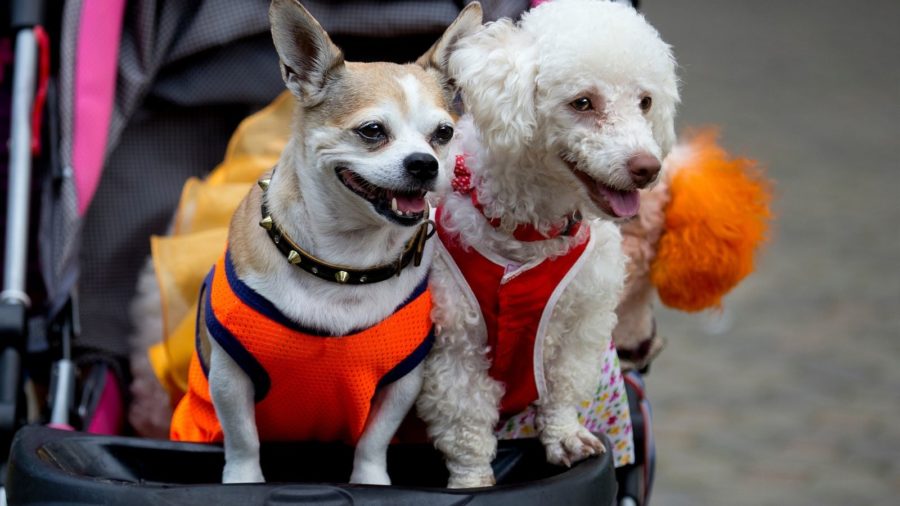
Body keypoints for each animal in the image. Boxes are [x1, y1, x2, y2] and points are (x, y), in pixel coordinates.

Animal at [169, 0, 478, 484]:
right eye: (372, 131)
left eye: (443, 134)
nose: (425, 163)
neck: (345, 262)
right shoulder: (229, 377)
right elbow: (243, 438)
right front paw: (243, 481)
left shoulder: (401, 383)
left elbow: (374, 440)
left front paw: (371, 481)